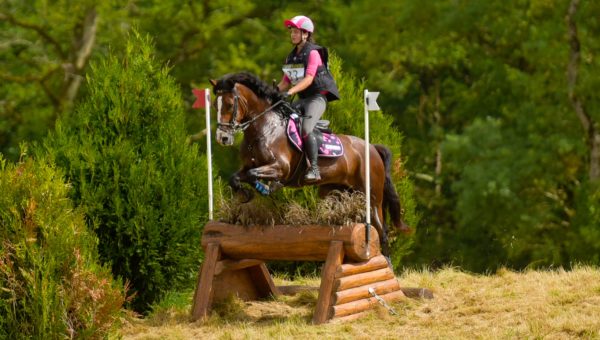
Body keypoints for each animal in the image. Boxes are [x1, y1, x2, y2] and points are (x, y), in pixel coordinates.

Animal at [209, 72, 410, 258]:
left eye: (229, 104)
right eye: (214, 106)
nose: (222, 138)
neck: (264, 129)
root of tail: (372, 148)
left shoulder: (281, 168)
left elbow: (254, 175)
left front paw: (266, 187)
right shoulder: (247, 167)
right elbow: (236, 177)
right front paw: (246, 193)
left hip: (372, 197)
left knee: (381, 230)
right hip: (336, 192)